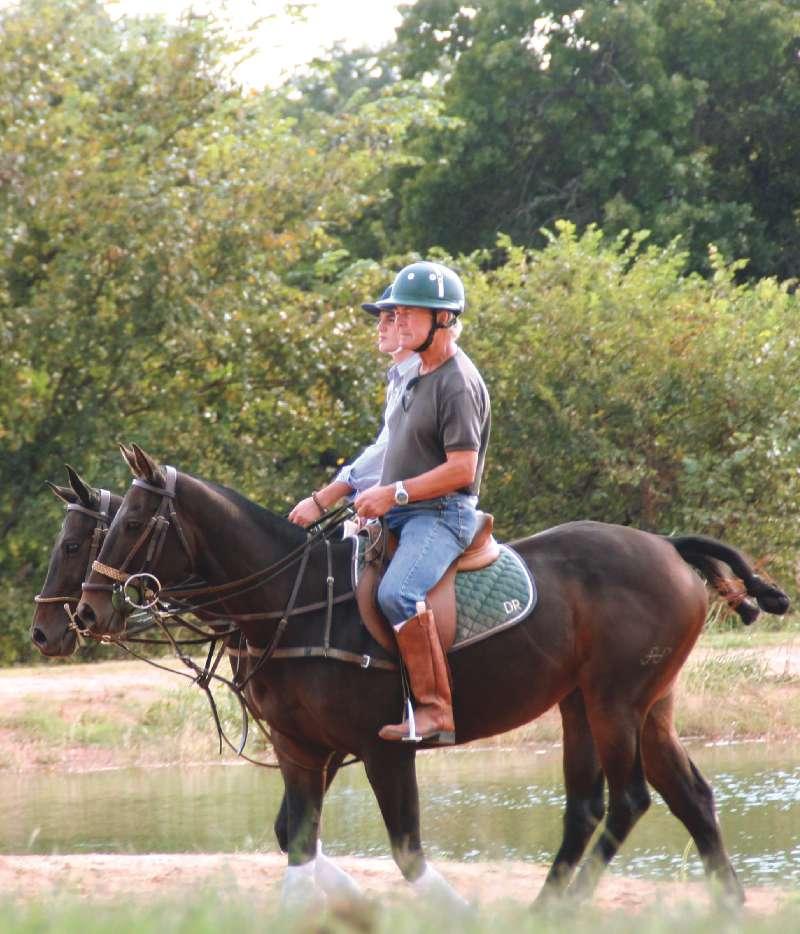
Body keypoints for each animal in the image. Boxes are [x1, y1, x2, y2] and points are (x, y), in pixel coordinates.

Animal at [76, 444, 790, 909]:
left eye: (132, 523)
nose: (86, 612)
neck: (295, 600)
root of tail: (667, 546)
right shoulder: (299, 749)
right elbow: (298, 844)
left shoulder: (384, 749)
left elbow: (407, 849)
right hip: (616, 703)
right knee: (671, 797)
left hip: (615, 700)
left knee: (630, 799)